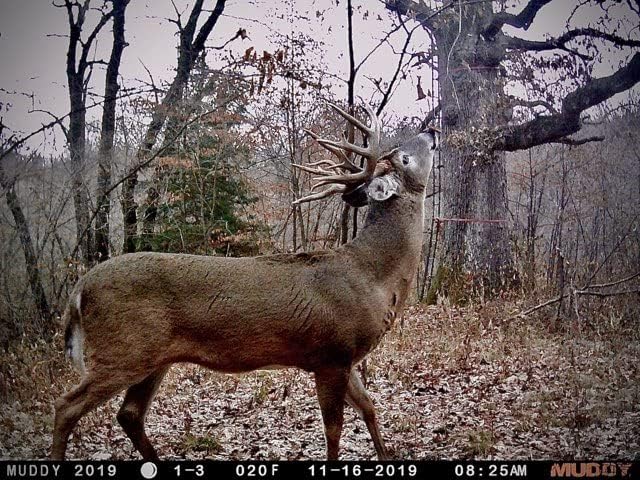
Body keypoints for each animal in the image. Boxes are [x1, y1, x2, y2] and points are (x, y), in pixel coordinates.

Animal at [51, 103, 438, 461]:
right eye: (404, 156)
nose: (432, 130)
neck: (371, 277)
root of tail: (80, 288)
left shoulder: (345, 358)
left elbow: (370, 407)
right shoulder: (331, 354)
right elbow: (334, 429)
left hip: (153, 358)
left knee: (129, 414)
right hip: (123, 349)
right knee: (66, 406)